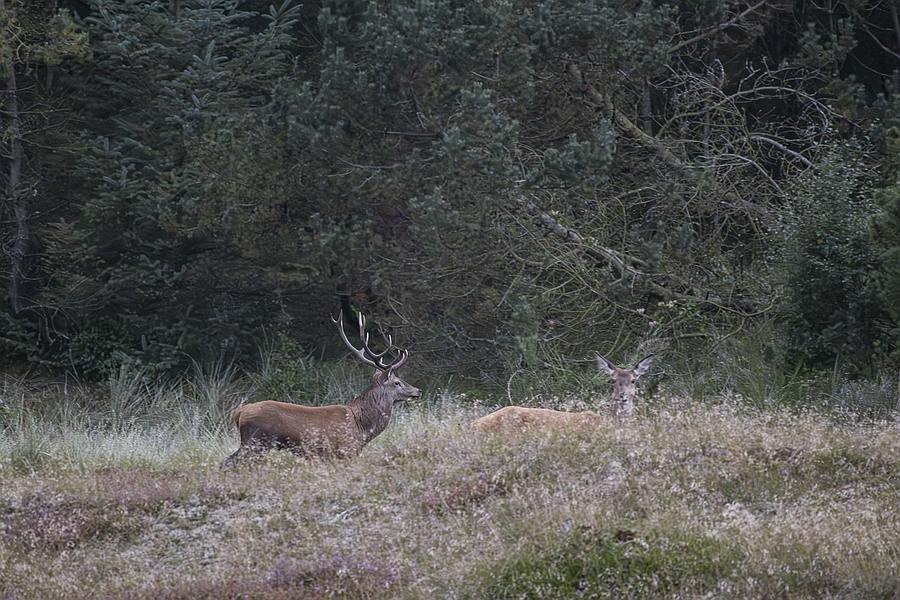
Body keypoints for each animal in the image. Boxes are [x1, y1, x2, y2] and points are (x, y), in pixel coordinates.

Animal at [222, 311, 420, 465]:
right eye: (397, 382)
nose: (417, 390)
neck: (361, 427)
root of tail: (238, 414)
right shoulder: (342, 451)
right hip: (256, 441)